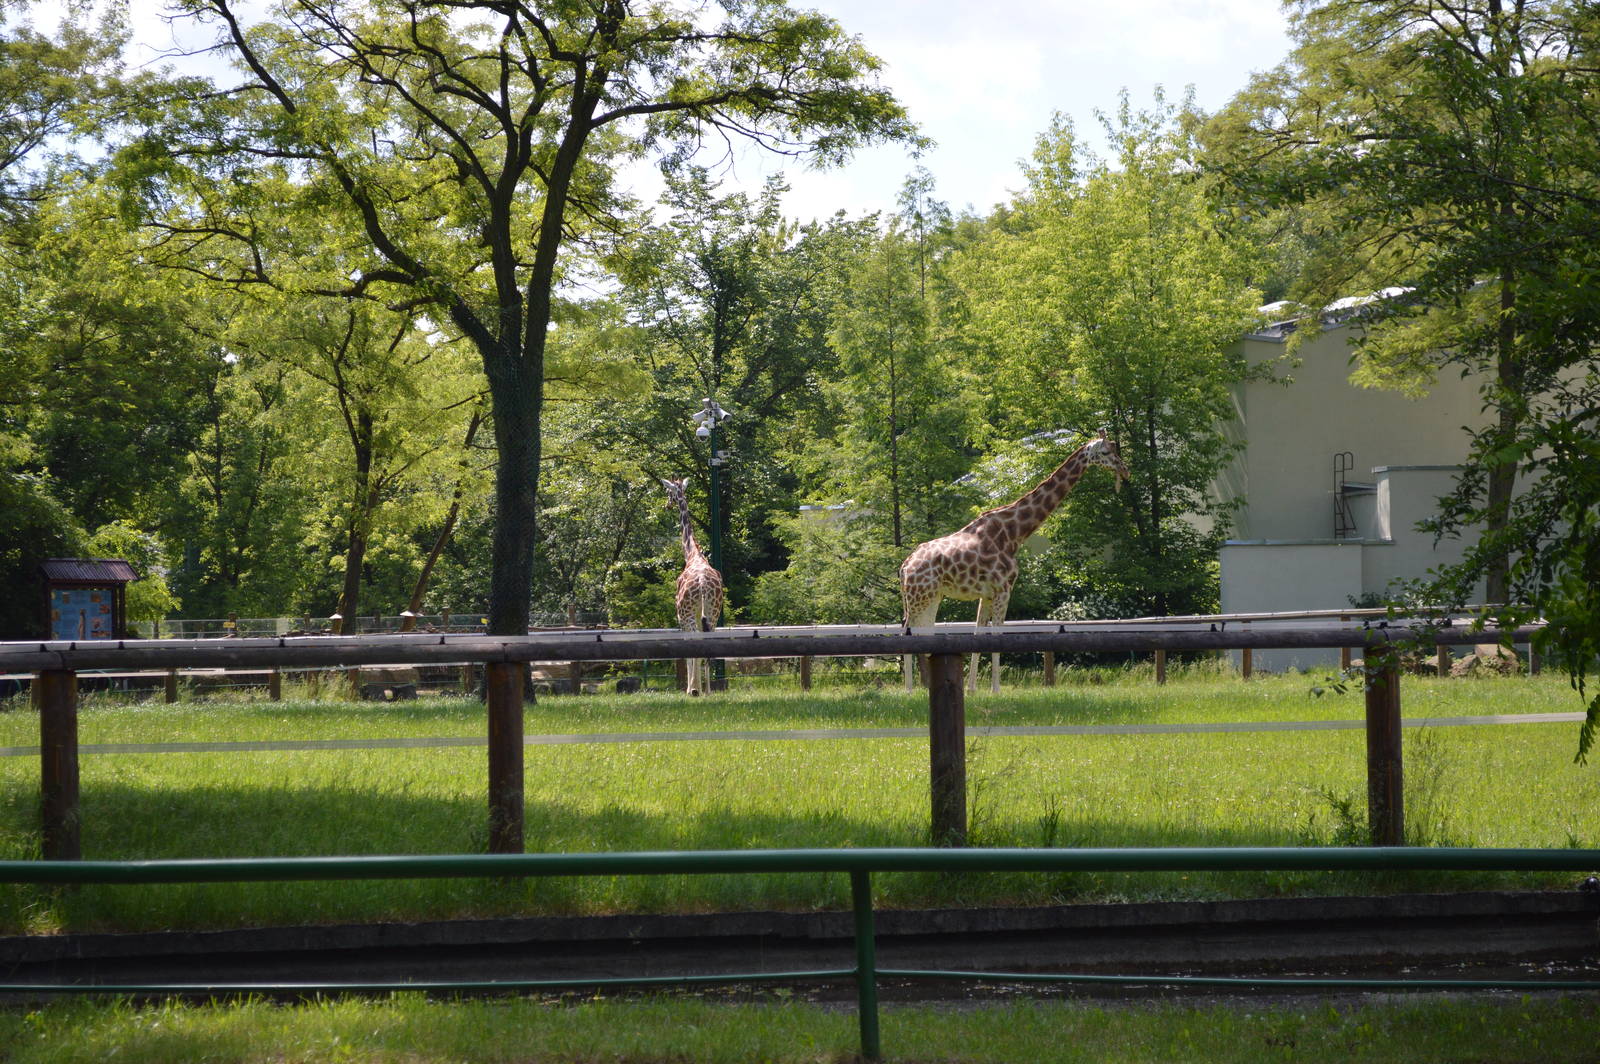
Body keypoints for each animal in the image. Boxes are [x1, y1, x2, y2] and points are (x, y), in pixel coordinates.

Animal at [663, 477, 725, 696]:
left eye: (669, 492)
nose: (667, 504)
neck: (692, 553)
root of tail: (703, 584)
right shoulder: (701, 614)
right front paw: (699, 687)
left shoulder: (680, 615)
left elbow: (687, 647)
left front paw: (691, 688)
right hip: (713, 611)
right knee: (708, 639)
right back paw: (708, 691)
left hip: (687, 612)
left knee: (696, 637)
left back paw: (696, 690)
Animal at [900, 432, 1130, 693]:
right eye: (1106, 452)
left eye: (1115, 449)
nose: (1125, 470)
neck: (1015, 533)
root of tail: (905, 566)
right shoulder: (1004, 588)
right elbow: (997, 637)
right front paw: (995, 690)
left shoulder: (987, 594)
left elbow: (979, 636)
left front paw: (972, 689)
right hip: (919, 596)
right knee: (906, 633)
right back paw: (909, 690)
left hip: (931, 596)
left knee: (921, 633)